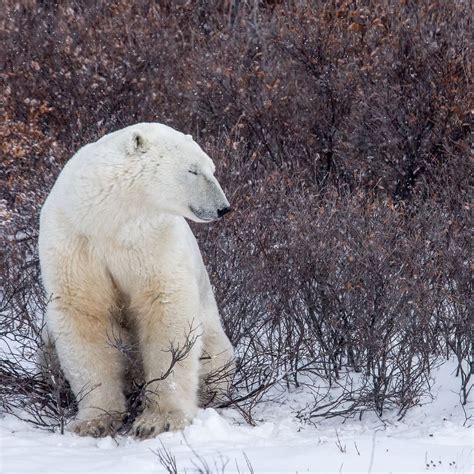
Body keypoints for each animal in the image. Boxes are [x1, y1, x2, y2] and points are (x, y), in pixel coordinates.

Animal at [38, 123, 234, 440]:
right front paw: (94, 421)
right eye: (192, 170)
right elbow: (83, 311)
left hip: (215, 341)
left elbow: (165, 309)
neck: (109, 219)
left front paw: (159, 420)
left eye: (211, 168)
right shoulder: (74, 237)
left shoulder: (152, 239)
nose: (223, 207)